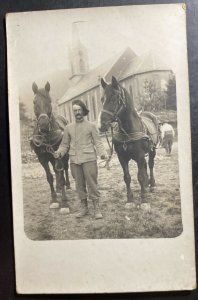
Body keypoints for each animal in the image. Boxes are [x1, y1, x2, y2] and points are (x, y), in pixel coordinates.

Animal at [30, 81, 70, 213]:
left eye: (49, 100)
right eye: (34, 102)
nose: (43, 125)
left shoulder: (60, 155)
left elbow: (61, 176)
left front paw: (64, 203)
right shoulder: (42, 158)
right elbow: (49, 177)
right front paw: (54, 199)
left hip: (63, 156)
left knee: (65, 169)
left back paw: (67, 185)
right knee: (56, 170)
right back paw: (58, 189)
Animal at [99, 76, 159, 210]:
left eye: (114, 98)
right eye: (102, 99)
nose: (102, 125)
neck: (128, 130)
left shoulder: (140, 155)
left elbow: (140, 177)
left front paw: (144, 200)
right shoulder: (122, 157)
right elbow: (127, 177)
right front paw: (130, 200)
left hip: (152, 150)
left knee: (150, 165)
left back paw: (152, 184)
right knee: (145, 166)